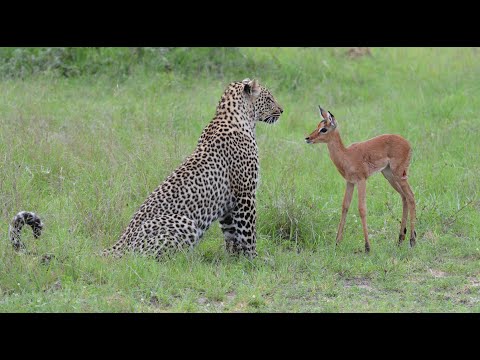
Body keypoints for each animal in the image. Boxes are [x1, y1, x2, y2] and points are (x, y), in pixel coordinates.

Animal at [101, 78, 282, 258]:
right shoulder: (245, 193)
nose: (282, 110)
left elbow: (231, 233)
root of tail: (121, 242)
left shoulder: (228, 204)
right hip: (185, 223)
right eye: (269, 99)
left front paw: (234, 258)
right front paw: (255, 258)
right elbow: (248, 232)